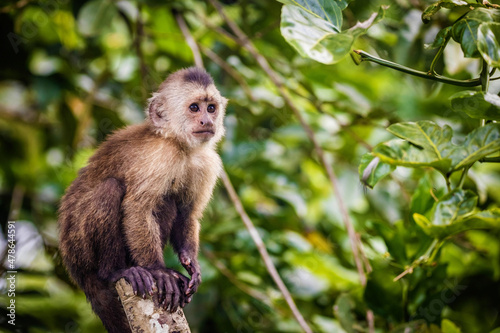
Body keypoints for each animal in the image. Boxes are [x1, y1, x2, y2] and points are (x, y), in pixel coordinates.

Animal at [58, 66, 227, 330]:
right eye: (194, 108)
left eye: (211, 108)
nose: (207, 121)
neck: (179, 144)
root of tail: (76, 272)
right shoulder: (161, 157)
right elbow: (138, 208)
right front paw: (159, 271)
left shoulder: (207, 163)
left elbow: (188, 215)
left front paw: (191, 263)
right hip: (79, 248)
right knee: (110, 189)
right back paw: (117, 272)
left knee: (169, 202)